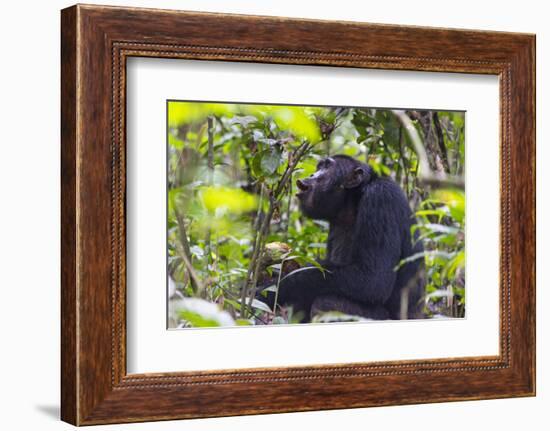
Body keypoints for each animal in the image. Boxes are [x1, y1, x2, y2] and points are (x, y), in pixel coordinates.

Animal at [258, 154, 426, 320]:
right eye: (319, 167)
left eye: (327, 167)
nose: (312, 174)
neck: (352, 203)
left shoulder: (380, 199)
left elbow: (373, 279)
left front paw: (271, 290)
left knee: (326, 302)